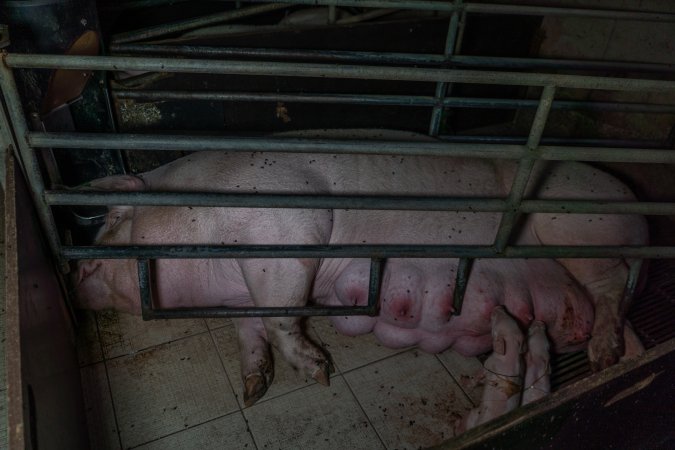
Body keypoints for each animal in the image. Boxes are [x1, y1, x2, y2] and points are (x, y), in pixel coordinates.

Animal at [74, 134, 648, 408]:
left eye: (112, 223)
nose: (76, 275)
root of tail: (636, 202)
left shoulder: (288, 232)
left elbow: (283, 317)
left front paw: (319, 373)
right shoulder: (245, 291)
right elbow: (251, 330)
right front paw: (254, 390)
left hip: (572, 221)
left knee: (612, 280)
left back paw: (603, 356)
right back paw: (616, 359)